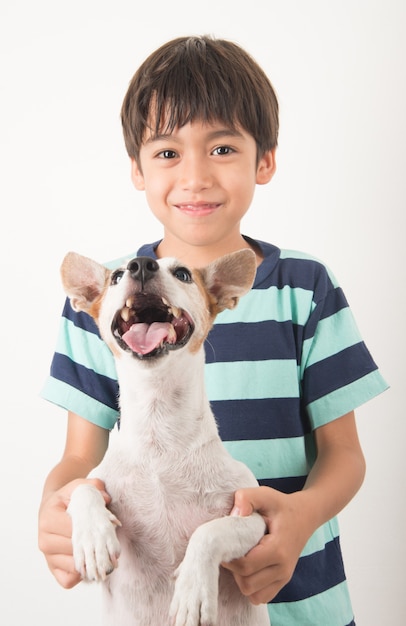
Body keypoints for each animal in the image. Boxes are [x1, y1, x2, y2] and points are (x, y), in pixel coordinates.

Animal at [61, 250, 272, 624]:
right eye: (116, 276)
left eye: (183, 273)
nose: (141, 264)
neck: (159, 428)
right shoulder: (97, 481)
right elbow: (83, 489)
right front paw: (92, 539)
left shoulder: (254, 519)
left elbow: (209, 533)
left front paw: (193, 589)